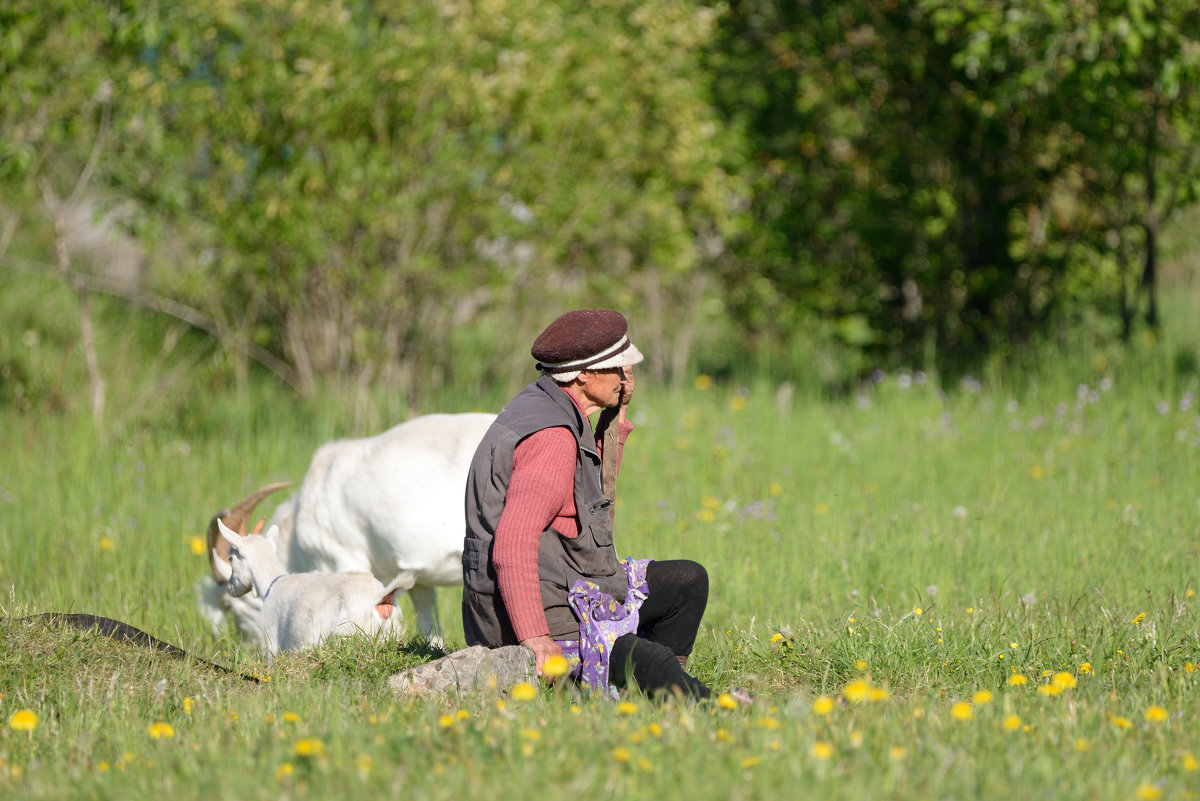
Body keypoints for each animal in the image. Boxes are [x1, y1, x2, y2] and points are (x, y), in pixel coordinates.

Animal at [216, 522, 417, 661]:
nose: (230, 589)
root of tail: (380, 598)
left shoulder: (271, 639)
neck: (273, 583)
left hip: (348, 633)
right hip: (392, 633)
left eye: (231, 557)